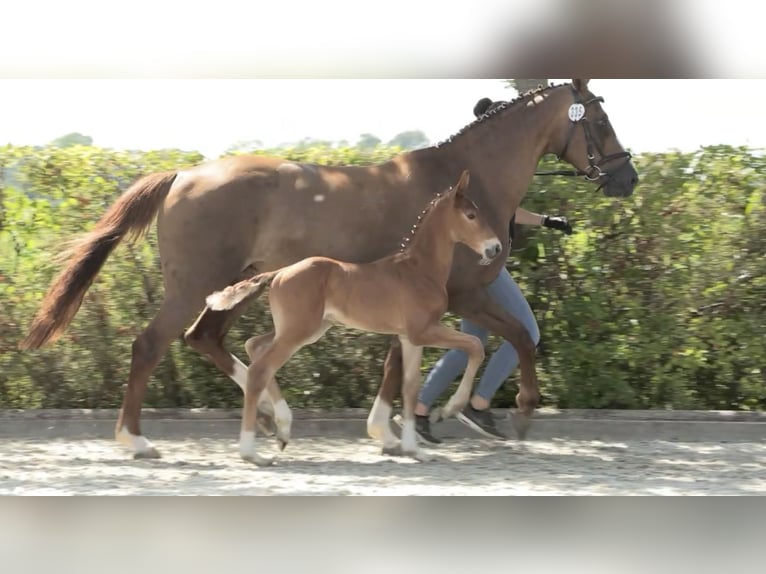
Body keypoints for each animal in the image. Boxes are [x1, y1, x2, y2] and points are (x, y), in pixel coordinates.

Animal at [207, 172, 500, 468]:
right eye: (471, 215)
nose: (495, 248)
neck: (420, 270)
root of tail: (279, 272)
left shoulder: (409, 338)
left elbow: (410, 387)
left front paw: (415, 450)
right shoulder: (424, 331)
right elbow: (475, 346)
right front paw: (451, 408)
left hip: (304, 328)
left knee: (255, 345)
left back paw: (283, 430)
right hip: (299, 331)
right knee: (259, 369)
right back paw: (252, 452)